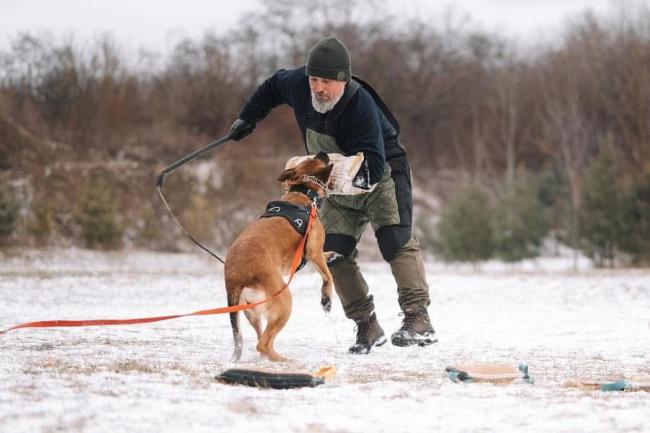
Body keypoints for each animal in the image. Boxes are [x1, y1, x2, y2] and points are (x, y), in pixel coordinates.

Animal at [224, 153, 334, 362]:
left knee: (261, 340)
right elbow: (327, 276)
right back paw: (285, 360)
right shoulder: (313, 250)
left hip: (254, 313)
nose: (322, 152)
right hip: (284, 301)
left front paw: (331, 254)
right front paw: (326, 299)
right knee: (263, 344)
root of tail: (234, 279)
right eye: (319, 159)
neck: (303, 194)